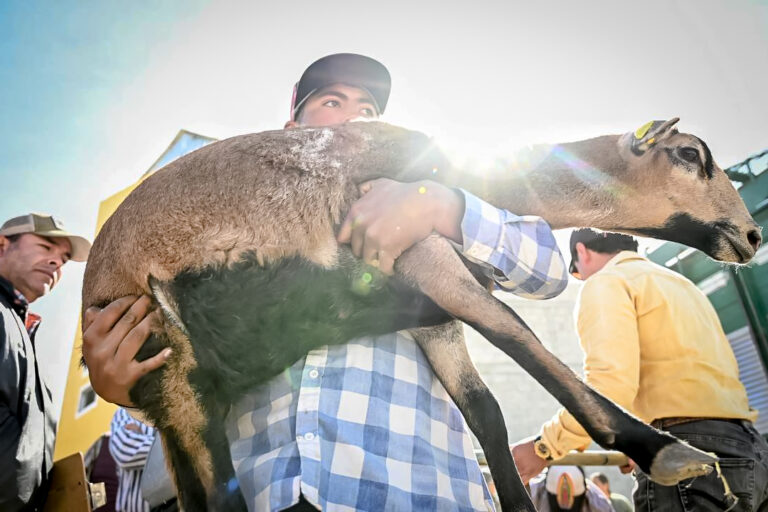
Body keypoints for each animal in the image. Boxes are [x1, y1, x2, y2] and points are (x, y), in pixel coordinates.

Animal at [84, 118, 760, 510]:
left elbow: (486, 412)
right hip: (174, 372)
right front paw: (660, 449)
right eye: (689, 155)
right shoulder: (418, 250)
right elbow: (517, 335)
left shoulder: (431, 310)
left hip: (185, 404)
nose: (752, 236)